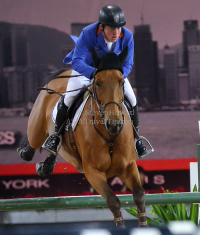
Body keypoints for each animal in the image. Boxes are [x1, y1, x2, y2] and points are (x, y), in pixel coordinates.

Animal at [17, 46, 148, 229]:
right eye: (98, 83)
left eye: (121, 82)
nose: (114, 124)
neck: (109, 136)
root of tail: (61, 74)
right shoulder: (93, 172)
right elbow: (113, 201)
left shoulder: (128, 167)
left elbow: (139, 195)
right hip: (36, 128)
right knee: (33, 140)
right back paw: (27, 151)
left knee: (53, 146)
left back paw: (46, 165)